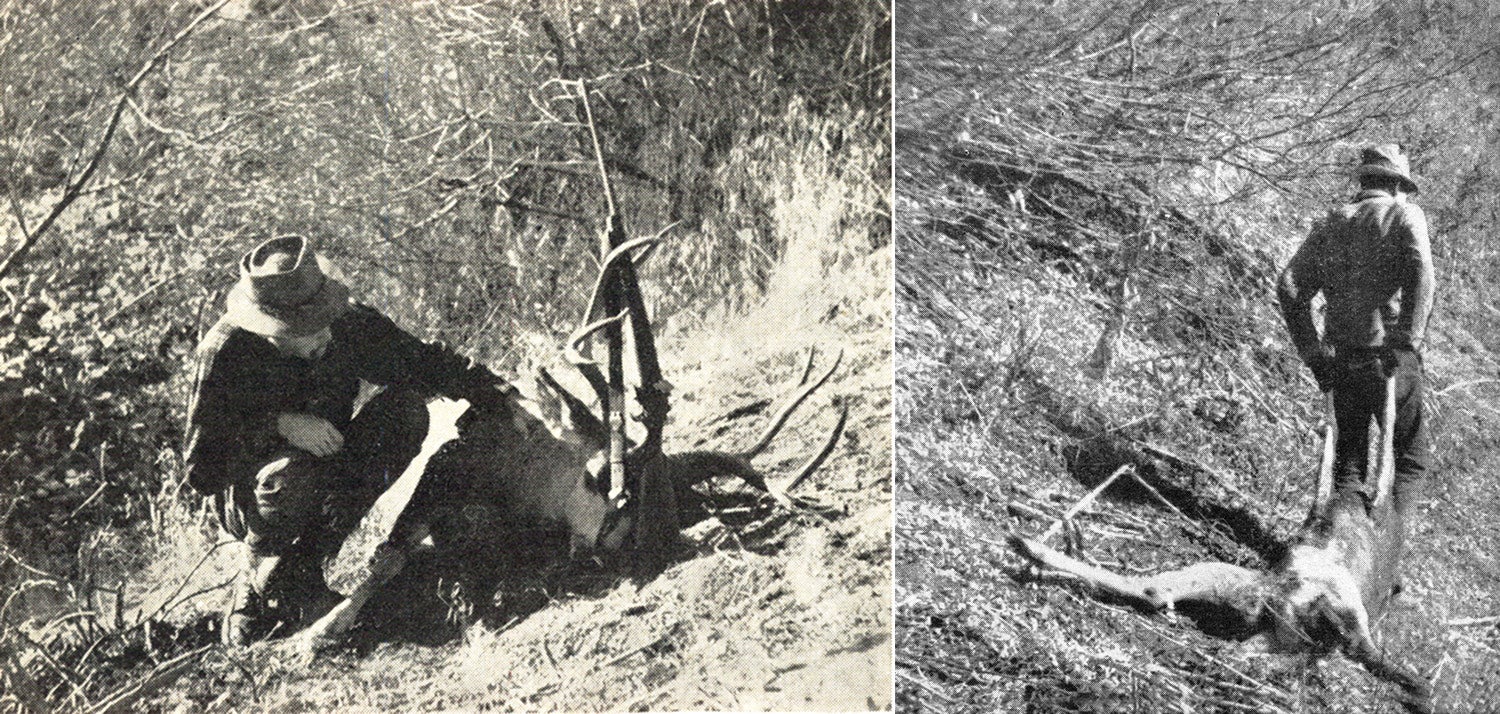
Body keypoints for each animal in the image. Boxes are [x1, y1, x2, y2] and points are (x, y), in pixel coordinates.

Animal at [292, 232, 852, 648]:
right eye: (599, 475)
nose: (606, 546)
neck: (512, 476)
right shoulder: (440, 471)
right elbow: (388, 557)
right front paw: (321, 631)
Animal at [1008, 376, 1428, 711]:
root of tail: (1278, 602)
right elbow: (1373, 432)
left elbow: (1361, 438)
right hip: (1269, 611)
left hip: (1237, 588)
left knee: (1153, 590)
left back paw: (1031, 546)